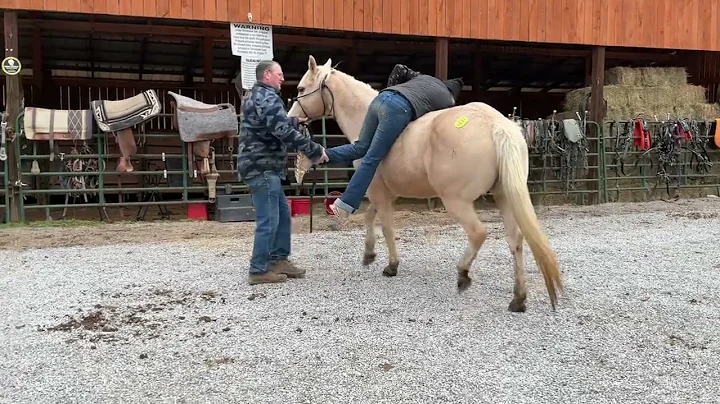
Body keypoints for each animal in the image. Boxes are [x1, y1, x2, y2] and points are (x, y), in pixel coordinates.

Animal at [288, 55, 563, 312]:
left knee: (478, 233)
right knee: (515, 240)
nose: (292, 119)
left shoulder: (378, 193)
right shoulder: (382, 193)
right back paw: (518, 299)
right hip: (504, 197)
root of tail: (496, 125)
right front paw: (369, 254)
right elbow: (370, 219)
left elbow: (386, 227)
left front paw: (391, 265)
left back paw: (463, 274)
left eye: (301, 88)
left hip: (457, 201)